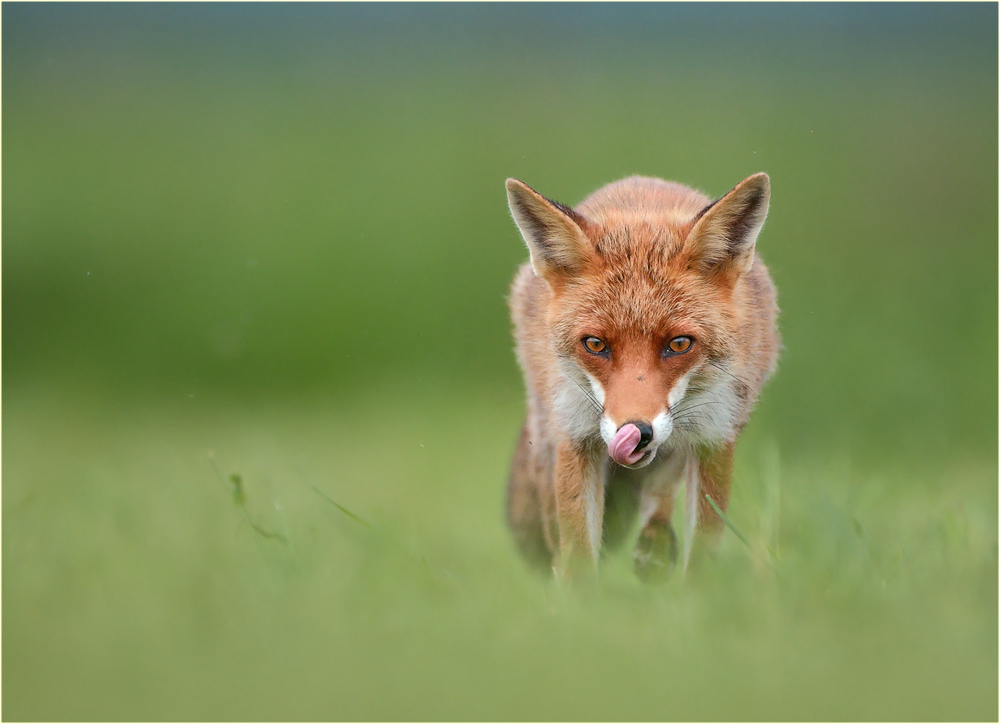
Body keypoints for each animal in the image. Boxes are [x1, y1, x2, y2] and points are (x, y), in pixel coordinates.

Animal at [504, 173, 776, 580]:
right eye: (595, 344)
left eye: (679, 344)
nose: (636, 432)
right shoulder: (574, 433)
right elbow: (578, 553)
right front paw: (576, 594)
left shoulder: (715, 434)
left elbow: (702, 552)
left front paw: (698, 594)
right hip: (546, 428)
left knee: (660, 491)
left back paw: (655, 546)